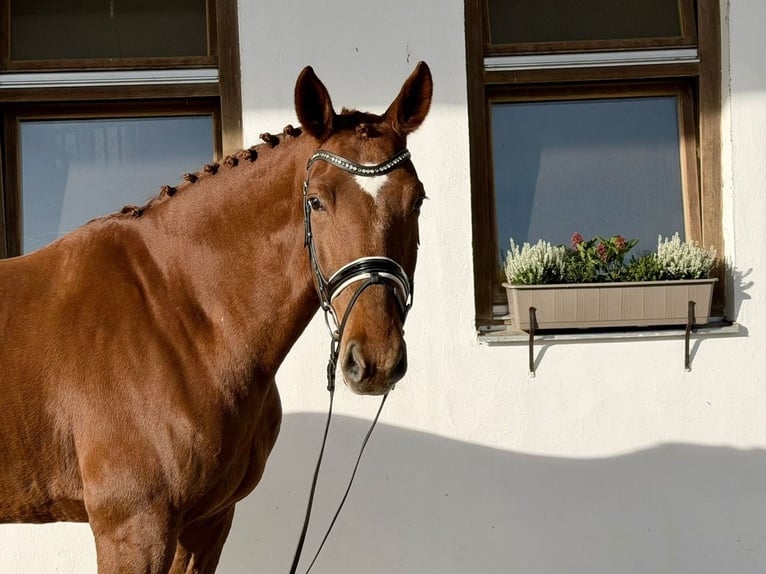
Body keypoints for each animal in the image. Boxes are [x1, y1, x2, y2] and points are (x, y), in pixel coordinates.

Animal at [0, 61, 432, 573]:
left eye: (417, 200)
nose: (376, 359)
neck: (177, 311)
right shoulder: (132, 527)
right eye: (317, 201)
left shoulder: (208, 523)